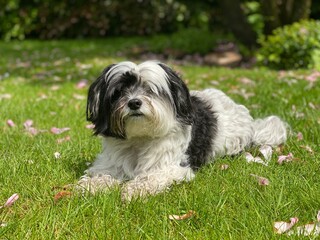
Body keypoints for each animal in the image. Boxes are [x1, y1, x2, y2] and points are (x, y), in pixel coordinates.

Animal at [78, 60, 288, 201]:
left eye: (150, 89)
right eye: (119, 92)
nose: (134, 102)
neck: (140, 138)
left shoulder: (172, 167)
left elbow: (152, 176)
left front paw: (134, 189)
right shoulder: (110, 163)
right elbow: (101, 174)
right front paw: (89, 186)